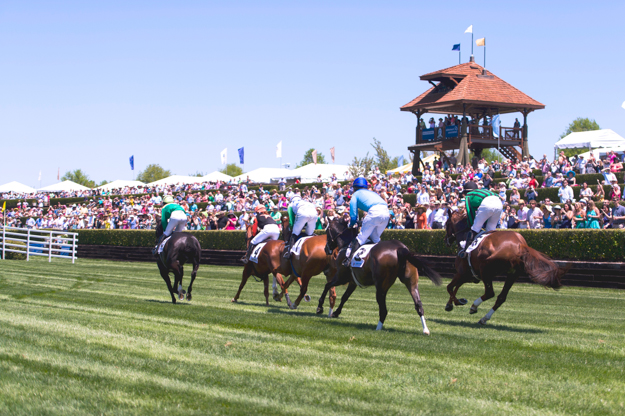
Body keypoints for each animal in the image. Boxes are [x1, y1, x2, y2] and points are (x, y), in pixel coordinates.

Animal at [314, 216, 442, 334]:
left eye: (326, 231)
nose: (326, 249)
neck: (346, 244)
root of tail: (400, 248)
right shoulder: (353, 281)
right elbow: (345, 296)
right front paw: (336, 312)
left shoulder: (341, 277)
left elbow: (327, 285)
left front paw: (320, 307)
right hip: (411, 280)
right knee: (418, 304)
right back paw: (425, 330)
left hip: (381, 285)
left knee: (383, 309)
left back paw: (378, 327)